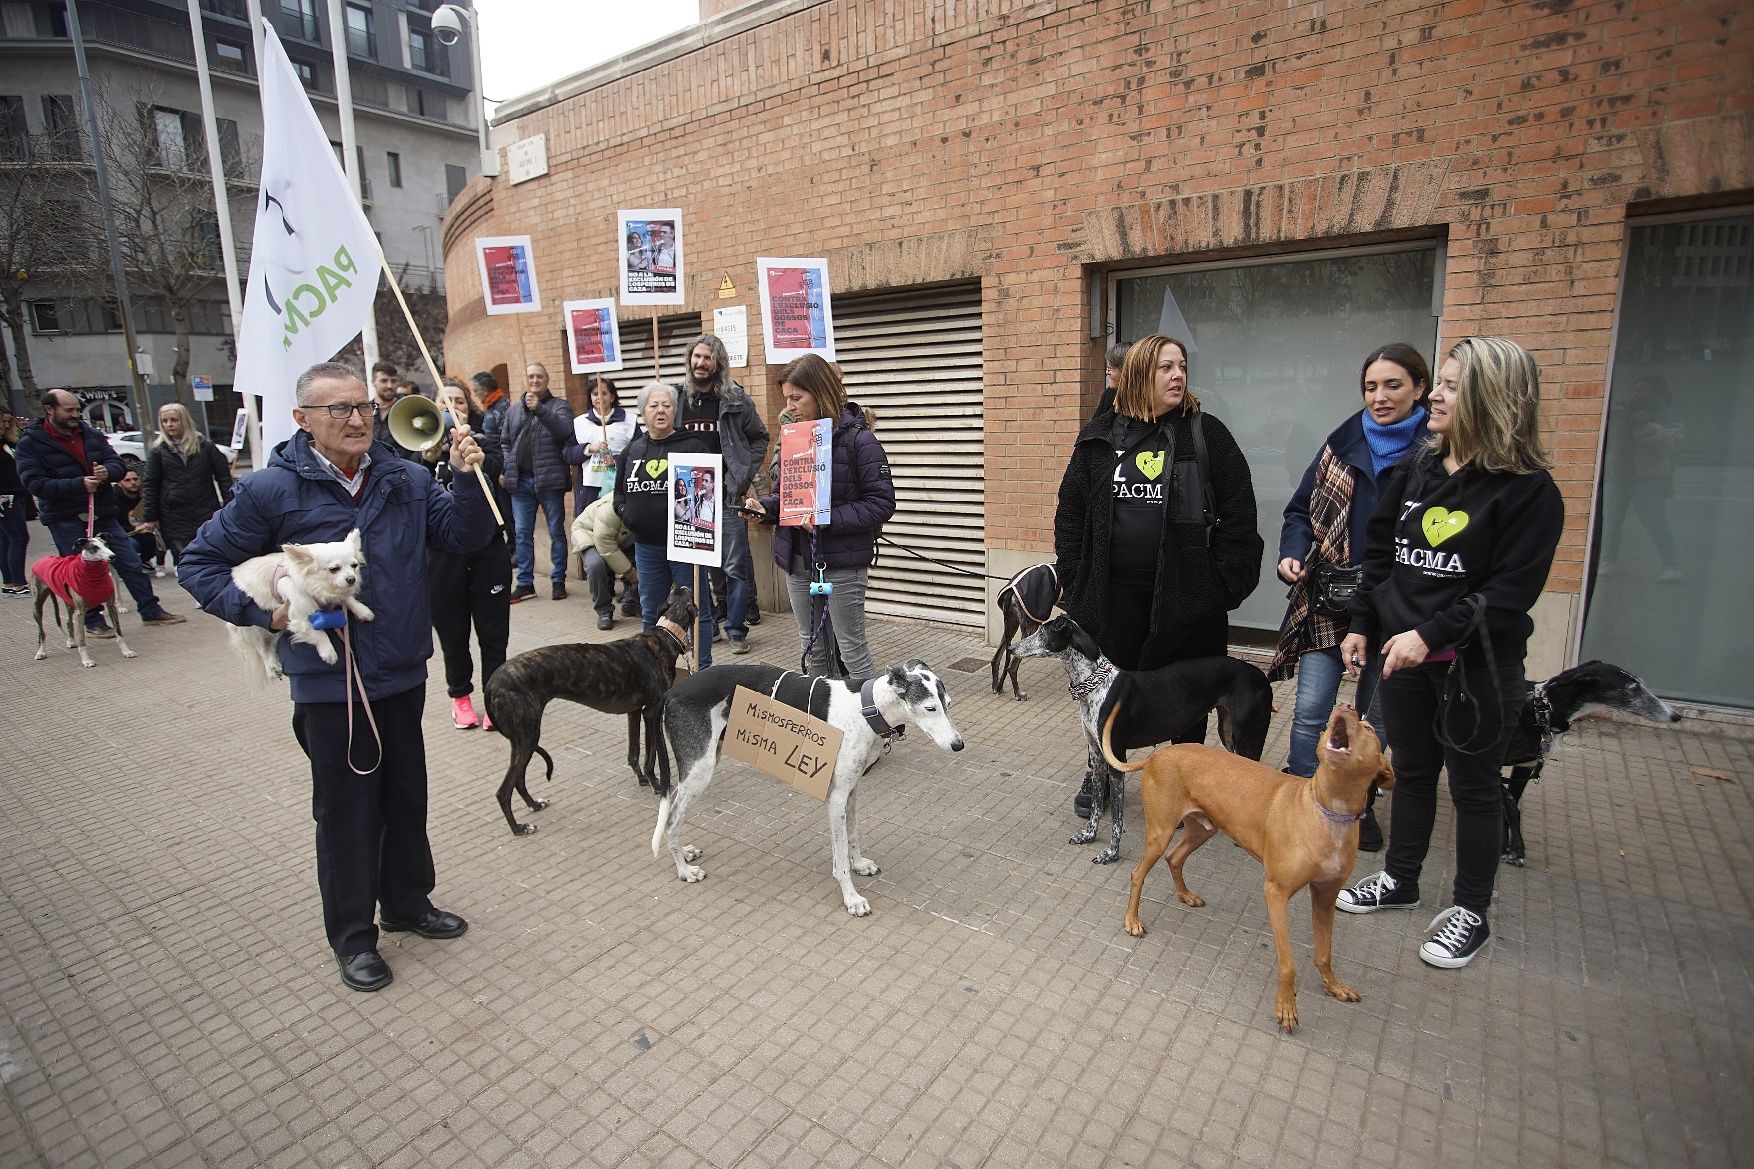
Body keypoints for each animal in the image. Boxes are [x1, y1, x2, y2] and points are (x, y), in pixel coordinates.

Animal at [228, 526, 375, 677]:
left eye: (354, 565)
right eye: (334, 569)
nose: (352, 579)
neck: (320, 585)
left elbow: (347, 598)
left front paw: (362, 610)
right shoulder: (299, 616)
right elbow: (318, 632)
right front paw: (328, 651)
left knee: (272, 643)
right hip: (252, 627)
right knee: (261, 647)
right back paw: (271, 668)